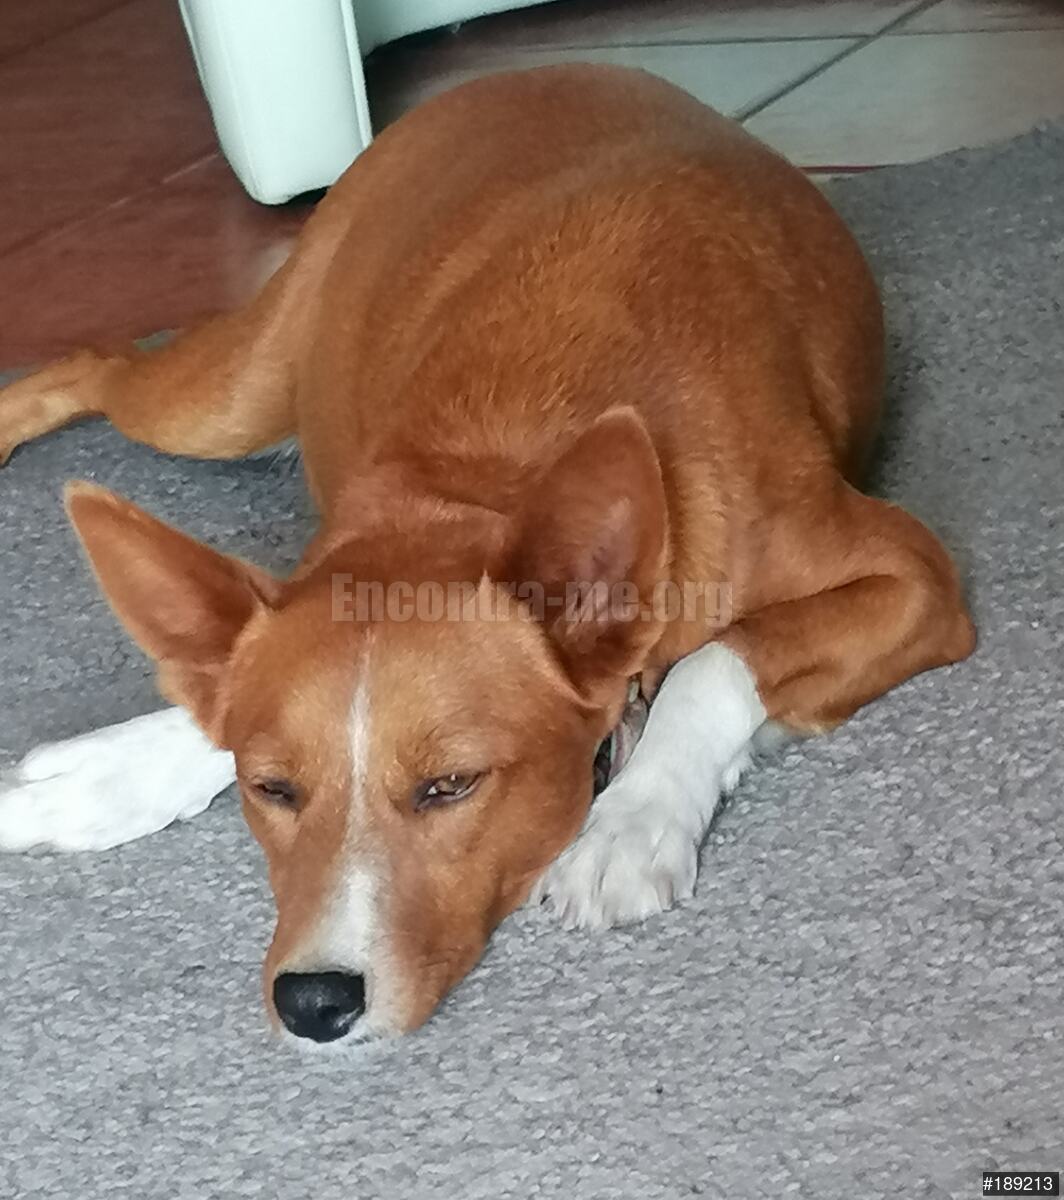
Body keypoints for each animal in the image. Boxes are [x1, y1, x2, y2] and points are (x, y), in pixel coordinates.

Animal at [0, 65, 975, 1047]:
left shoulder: (917, 578)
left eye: (451, 786)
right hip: (227, 397)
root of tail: (530, 73)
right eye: (272, 790)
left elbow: (712, 662)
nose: (312, 1003)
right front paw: (113, 774)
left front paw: (633, 818)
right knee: (90, 363)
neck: (504, 461)